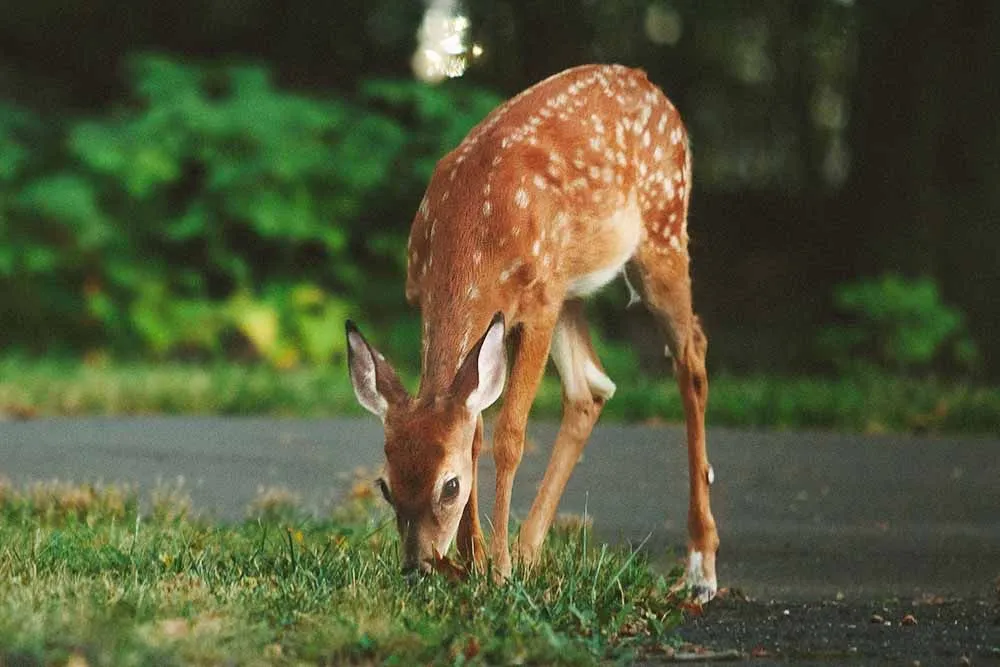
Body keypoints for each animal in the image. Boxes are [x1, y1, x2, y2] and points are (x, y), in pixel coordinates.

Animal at [346, 64, 719, 601]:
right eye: (385, 486)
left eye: (449, 486)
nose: (418, 567)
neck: (472, 236)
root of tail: (649, 84)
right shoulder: (434, 300)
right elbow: (475, 429)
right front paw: (475, 562)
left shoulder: (538, 305)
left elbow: (508, 436)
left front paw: (496, 570)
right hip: (572, 287)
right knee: (591, 388)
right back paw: (529, 552)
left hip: (662, 231)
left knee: (692, 355)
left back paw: (701, 567)